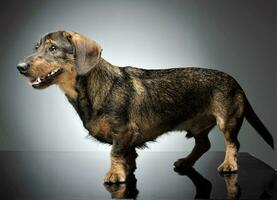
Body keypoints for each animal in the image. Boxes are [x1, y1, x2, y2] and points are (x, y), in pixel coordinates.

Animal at [16, 30, 272, 183]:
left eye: (53, 48)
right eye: (36, 47)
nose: (20, 67)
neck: (95, 87)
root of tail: (236, 81)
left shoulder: (123, 132)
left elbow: (115, 152)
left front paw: (115, 173)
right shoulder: (127, 138)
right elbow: (128, 155)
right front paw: (127, 169)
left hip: (227, 120)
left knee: (233, 143)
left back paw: (229, 164)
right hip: (200, 125)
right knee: (204, 144)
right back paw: (186, 161)